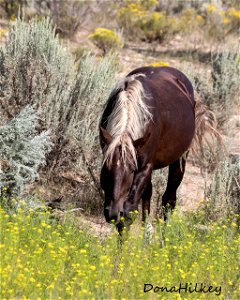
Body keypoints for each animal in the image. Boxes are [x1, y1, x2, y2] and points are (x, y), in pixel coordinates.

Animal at [99, 66, 218, 232]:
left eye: (131, 170)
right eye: (105, 169)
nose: (112, 213)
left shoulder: (144, 167)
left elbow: (129, 211)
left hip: (179, 160)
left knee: (169, 199)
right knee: (148, 197)